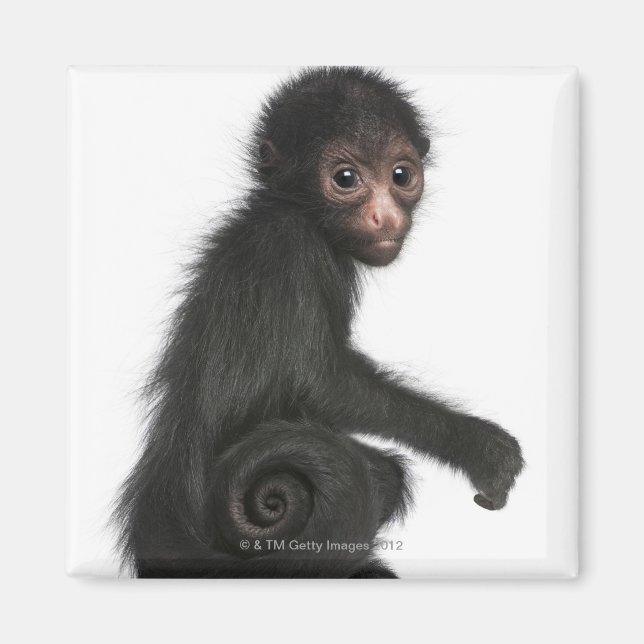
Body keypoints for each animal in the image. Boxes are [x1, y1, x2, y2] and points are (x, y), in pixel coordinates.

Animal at [113, 67, 524, 579]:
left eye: (401, 175)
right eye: (345, 179)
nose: (385, 215)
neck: (291, 210)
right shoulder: (291, 247)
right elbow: (318, 382)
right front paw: (478, 446)